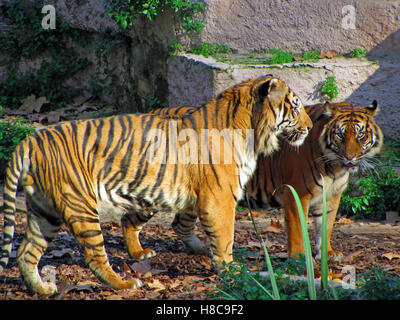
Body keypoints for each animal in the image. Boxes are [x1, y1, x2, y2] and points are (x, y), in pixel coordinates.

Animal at [0, 75, 312, 296]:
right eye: (295, 106)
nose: (309, 127)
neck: (252, 131)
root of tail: (30, 140)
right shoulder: (219, 198)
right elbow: (225, 237)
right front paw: (231, 271)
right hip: (80, 205)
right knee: (93, 256)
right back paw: (124, 284)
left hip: (45, 211)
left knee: (27, 251)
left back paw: (42, 288)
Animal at [154, 101, 384, 262]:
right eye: (340, 136)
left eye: (361, 136)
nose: (350, 158)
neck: (334, 167)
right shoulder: (296, 195)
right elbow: (298, 231)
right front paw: (300, 259)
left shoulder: (331, 196)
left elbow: (324, 228)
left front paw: (327, 254)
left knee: (180, 223)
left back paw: (202, 249)